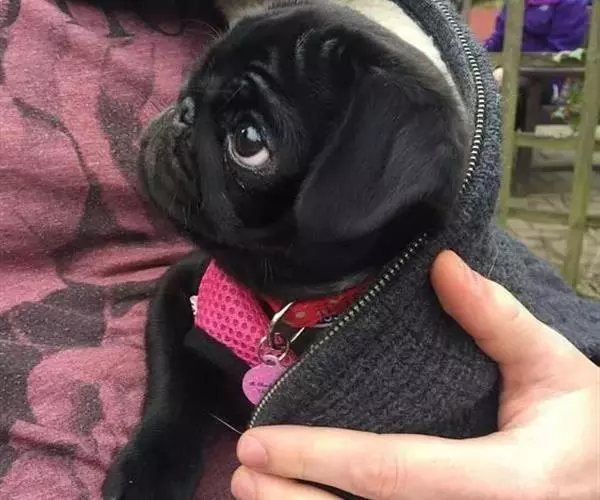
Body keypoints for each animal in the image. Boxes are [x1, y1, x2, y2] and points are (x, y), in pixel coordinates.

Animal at [102, 1, 470, 498]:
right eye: (195, 73)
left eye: (249, 141)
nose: (183, 109)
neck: (293, 307)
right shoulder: (178, 289)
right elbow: (173, 383)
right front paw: (148, 469)